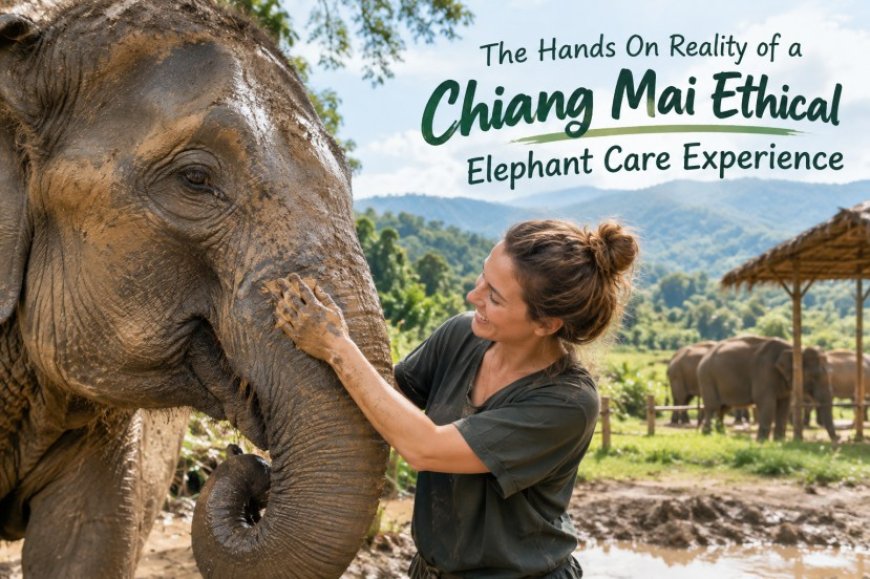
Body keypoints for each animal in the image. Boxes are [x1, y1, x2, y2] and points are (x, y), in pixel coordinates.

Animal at [698, 336, 837, 442]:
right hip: (707, 378)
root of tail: (704, 357)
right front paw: (761, 442)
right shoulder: (764, 373)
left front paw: (779, 441)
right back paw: (707, 434)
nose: (839, 439)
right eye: (812, 377)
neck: (794, 349)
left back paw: (720, 434)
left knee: (724, 408)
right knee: (712, 407)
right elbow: (767, 404)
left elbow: (784, 406)